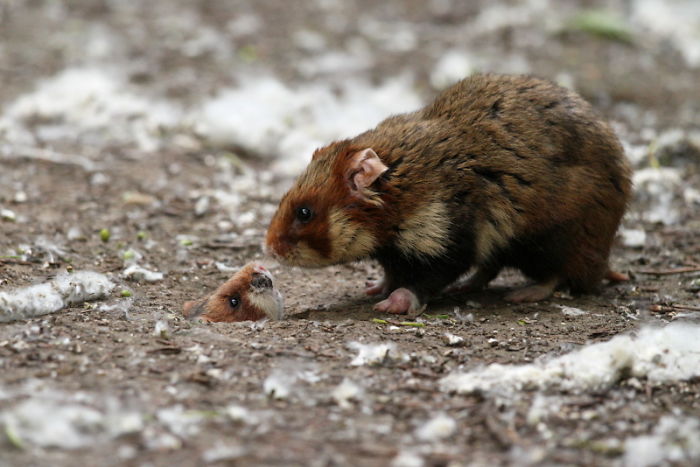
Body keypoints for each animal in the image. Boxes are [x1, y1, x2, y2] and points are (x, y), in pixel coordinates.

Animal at [265, 74, 631, 314]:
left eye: (304, 212)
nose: (268, 249)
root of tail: (603, 261)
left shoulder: (448, 238)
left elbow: (422, 281)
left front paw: (392, 304)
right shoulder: (396, 252)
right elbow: (392, 273)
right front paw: (375, 289)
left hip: (551, 238)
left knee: (556, 274)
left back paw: (524, 294)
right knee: (489, 269)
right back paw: (467, 287)